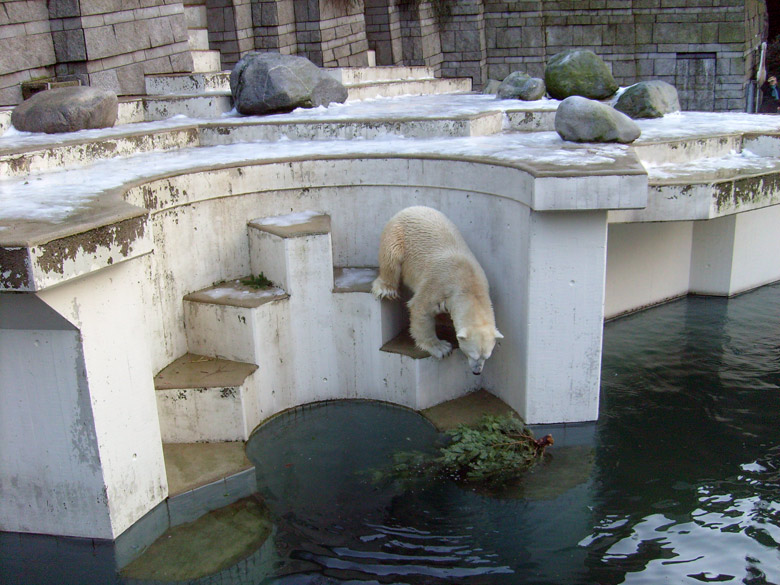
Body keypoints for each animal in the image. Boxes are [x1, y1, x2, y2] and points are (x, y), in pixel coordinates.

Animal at [374, 204, 506, 374]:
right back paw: (386, 289)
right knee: (391, 259)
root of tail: (410, 208)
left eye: (487, 356)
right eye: (472, 354)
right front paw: (441, 348)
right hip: (396, 235)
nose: (477, 371)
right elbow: (420, 309)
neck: (468, 283)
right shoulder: (437, 284)